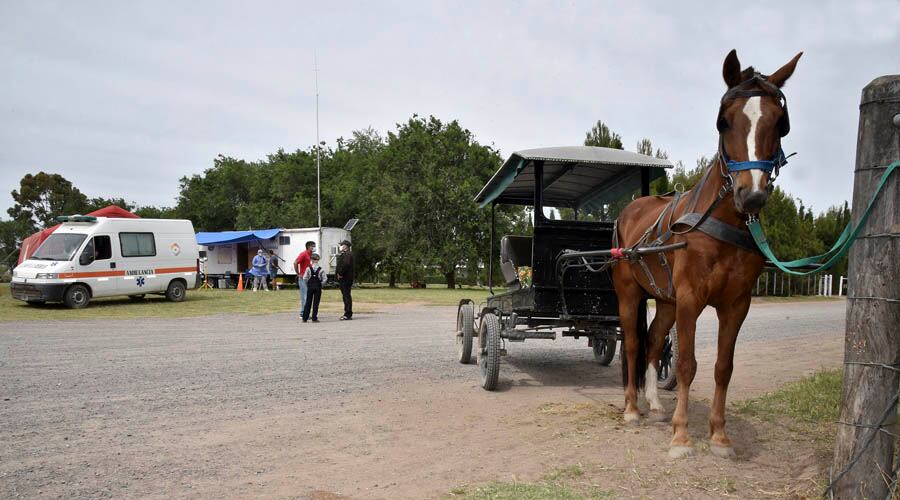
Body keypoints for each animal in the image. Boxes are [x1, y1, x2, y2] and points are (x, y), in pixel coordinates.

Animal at [612, 48, 800, 458]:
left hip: (665, 300)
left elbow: (721, 367)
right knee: (633, 345)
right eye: (723, 122)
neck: (721, 225)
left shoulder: (736, 304)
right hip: (630, 292)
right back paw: (632, 407)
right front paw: (682, 435)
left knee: (653, 342)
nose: (751, 195)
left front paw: (719, 435)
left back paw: (654, 404)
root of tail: (628, 212)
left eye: (780, 124)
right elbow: (686, 364)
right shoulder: (690, 298)